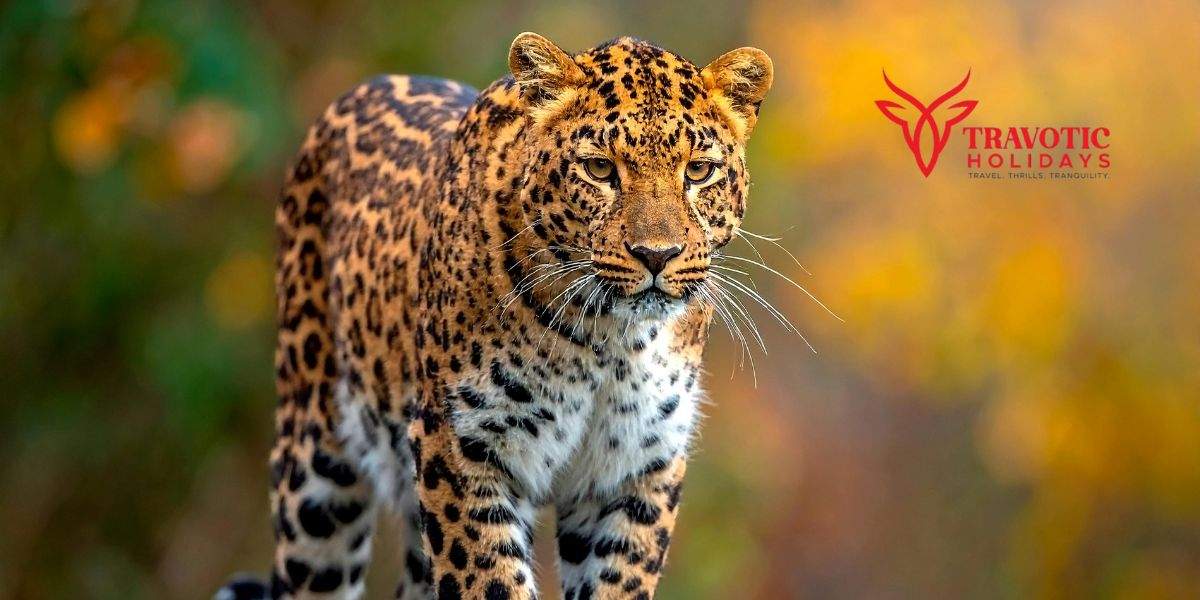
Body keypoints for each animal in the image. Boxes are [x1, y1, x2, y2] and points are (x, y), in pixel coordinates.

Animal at [218, 32, 773, 600]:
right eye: (599, 169)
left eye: (699, 171)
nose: (656, 255)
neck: (611, 338)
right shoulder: (461, 448)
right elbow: (490, 580)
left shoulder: (637, 468)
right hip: (316, 471)